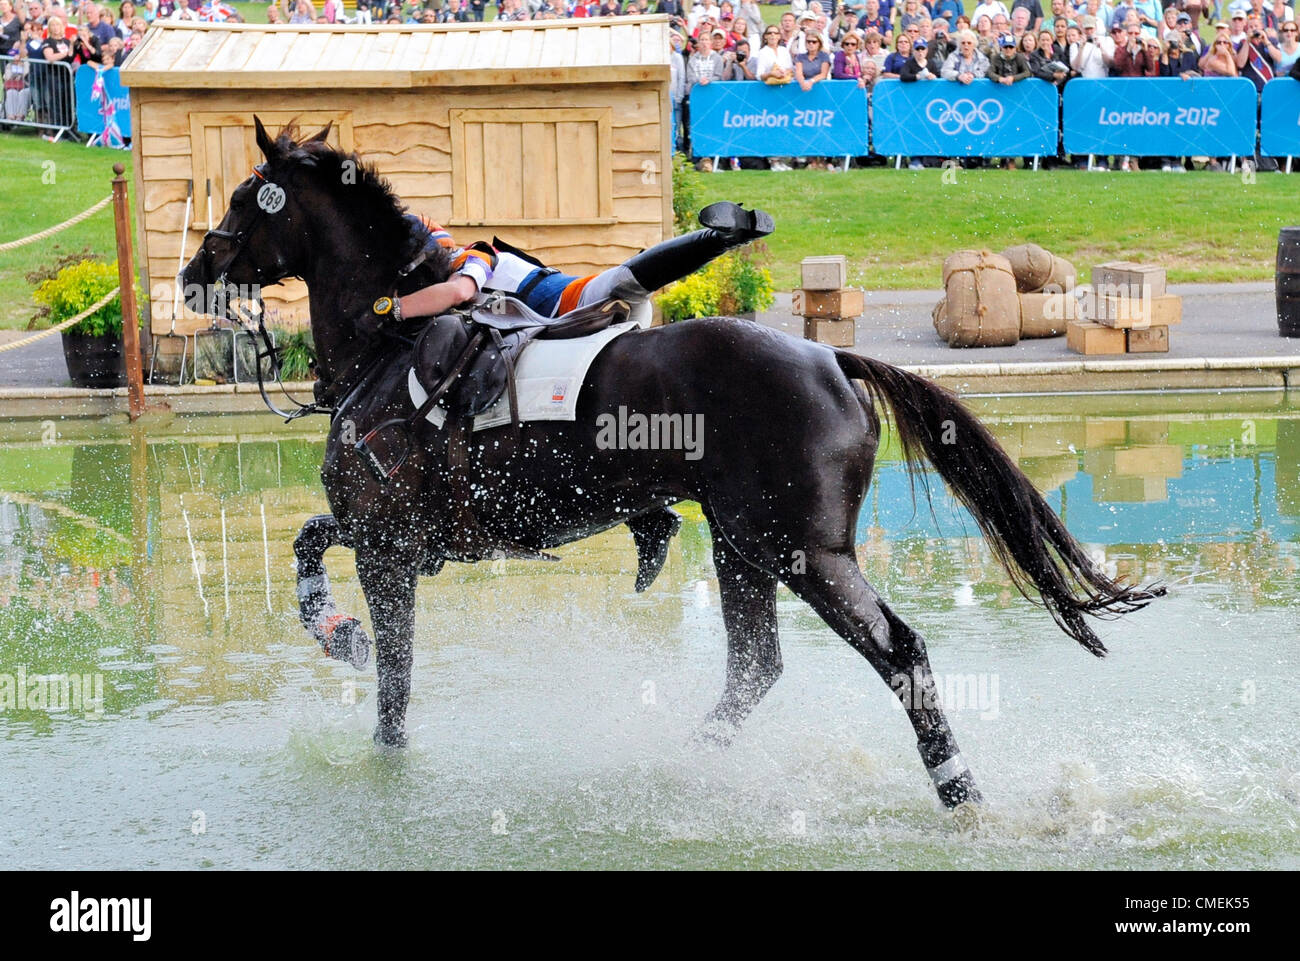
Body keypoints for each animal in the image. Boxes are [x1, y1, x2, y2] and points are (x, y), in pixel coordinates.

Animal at [180, 122, 1159, 811]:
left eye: (251, 196)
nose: (193, 271)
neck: (390, 342)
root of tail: (831, 357)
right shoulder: (397, 539)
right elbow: (312, 545)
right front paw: (336, 631)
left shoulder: (387, 544)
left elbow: (388, 676)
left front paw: (347, 650)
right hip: (741, 544)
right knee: (755, 667)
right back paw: (680, 766)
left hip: (806, 551)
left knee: (899, 652)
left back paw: (958, 791)